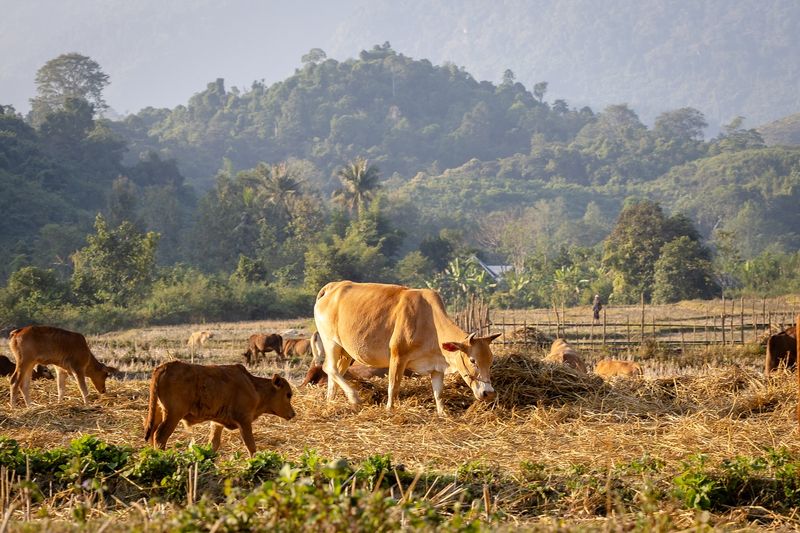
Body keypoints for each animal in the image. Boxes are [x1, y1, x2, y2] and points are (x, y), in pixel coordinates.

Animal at [142, 360, 296, 456]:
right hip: (172, 415)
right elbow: (251, 446)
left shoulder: (217, 423)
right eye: (288, 394)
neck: (253, 386)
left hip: (158, 412)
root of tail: (165, 367)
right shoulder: (244, 421)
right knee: (160, 436)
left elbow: (213, 444)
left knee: (152, 433)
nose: (293, 414)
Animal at [312, 280, 500, 414]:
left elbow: (438, 393)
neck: (429, 321)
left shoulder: (436, 368)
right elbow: (393, 386)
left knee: (335, 373)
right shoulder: (397, 356)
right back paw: (354, 397)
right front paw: (389, 409)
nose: (489, 393)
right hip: (331, 342)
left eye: (491, 361)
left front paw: (442, 413)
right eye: (473, 360)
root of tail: (333, 286)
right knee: (329, 368)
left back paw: (331, 401)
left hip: (346, 352)